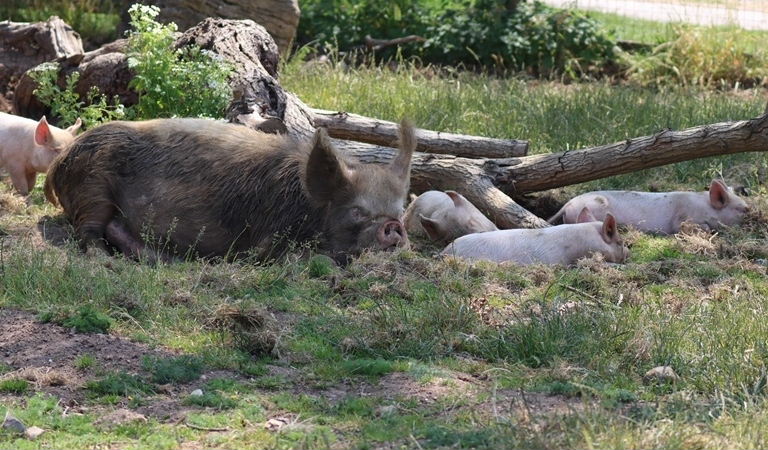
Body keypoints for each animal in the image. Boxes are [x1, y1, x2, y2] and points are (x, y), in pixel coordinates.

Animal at [44, 118, 415, 262]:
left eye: (400, 211)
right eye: (357, 211)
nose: (393, 226)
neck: (305, 205)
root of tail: (58, 163)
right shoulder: (270, 238)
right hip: (92, 186)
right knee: (89, 231)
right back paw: (107, 261)